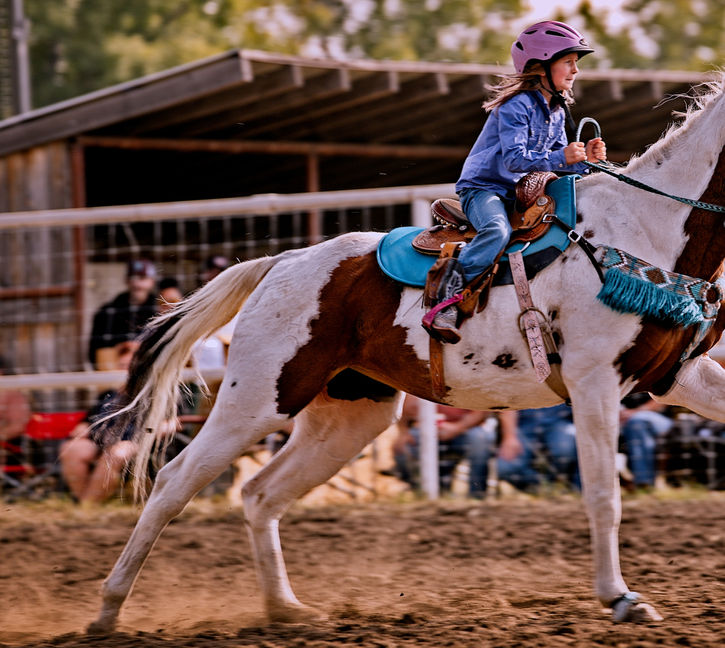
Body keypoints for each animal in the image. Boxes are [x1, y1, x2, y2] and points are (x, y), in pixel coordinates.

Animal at [88, 77, 725, 633]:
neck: (641, 230)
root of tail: (281, 263)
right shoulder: (595, 383)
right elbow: (602, 494)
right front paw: (621, 599)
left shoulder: (678, 376)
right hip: (259, 400)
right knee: (174, 482)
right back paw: (107, 611)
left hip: (350, 415)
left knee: (260, 494)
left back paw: (286, 610)